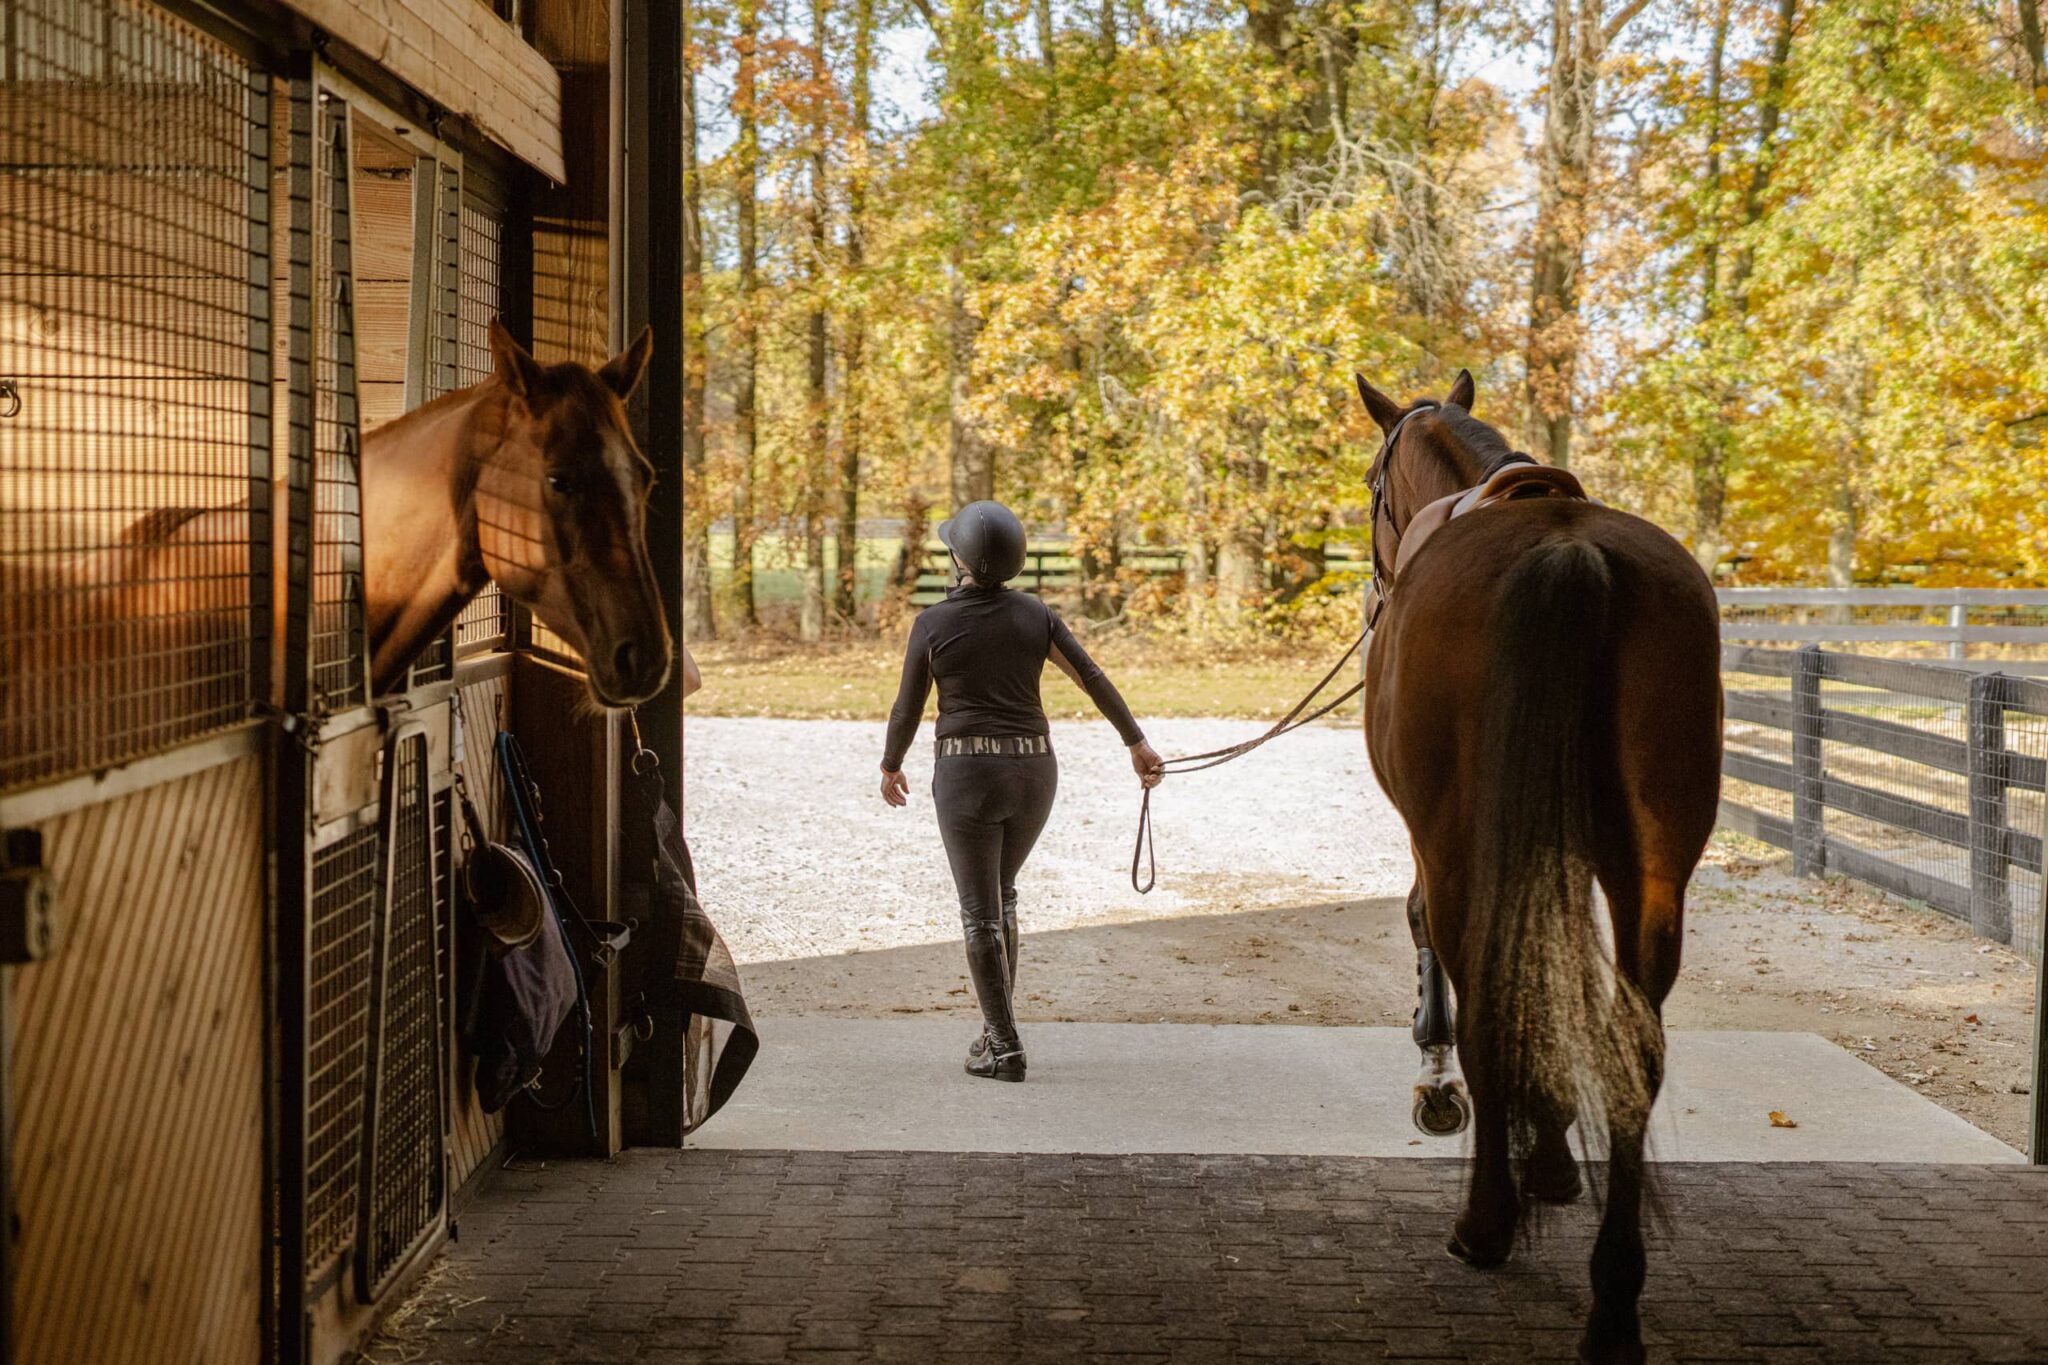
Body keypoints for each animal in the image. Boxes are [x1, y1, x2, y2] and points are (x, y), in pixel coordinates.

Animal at [1355, 368, 1722, 1364]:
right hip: (1655, 869)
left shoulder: (1438, 843)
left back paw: (1484, 1221)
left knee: (1488, 997)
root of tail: (1572, 556)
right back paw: (1614, 1299)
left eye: (1370, 484)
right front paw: (1554, 1152)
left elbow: (1436, 940)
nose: (1372, 590)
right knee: (1636, 1041)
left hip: (1456, 840)